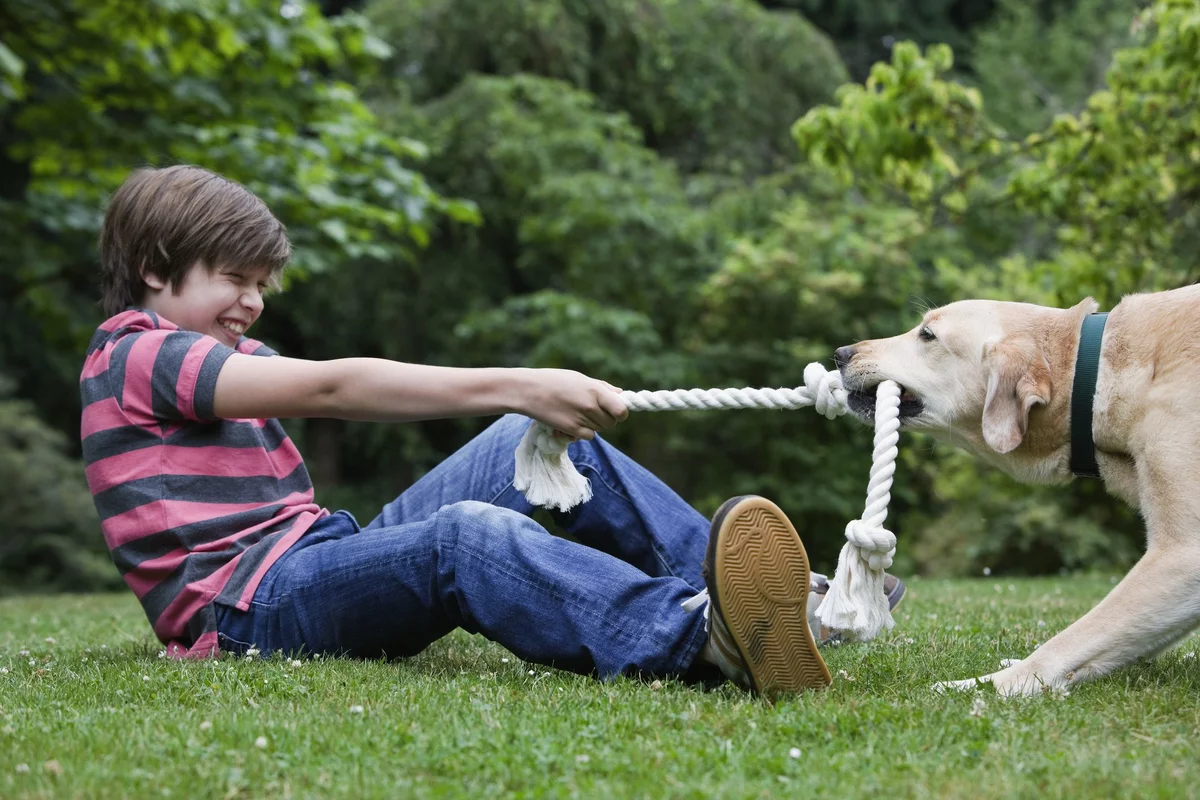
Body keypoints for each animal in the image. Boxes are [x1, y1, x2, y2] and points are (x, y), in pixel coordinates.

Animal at [830, 284, 1200, 695]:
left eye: (927, 335)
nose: (840, 354)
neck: (1093, 374)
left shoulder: (1182, 556)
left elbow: (1067, 641)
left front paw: (986, 685)